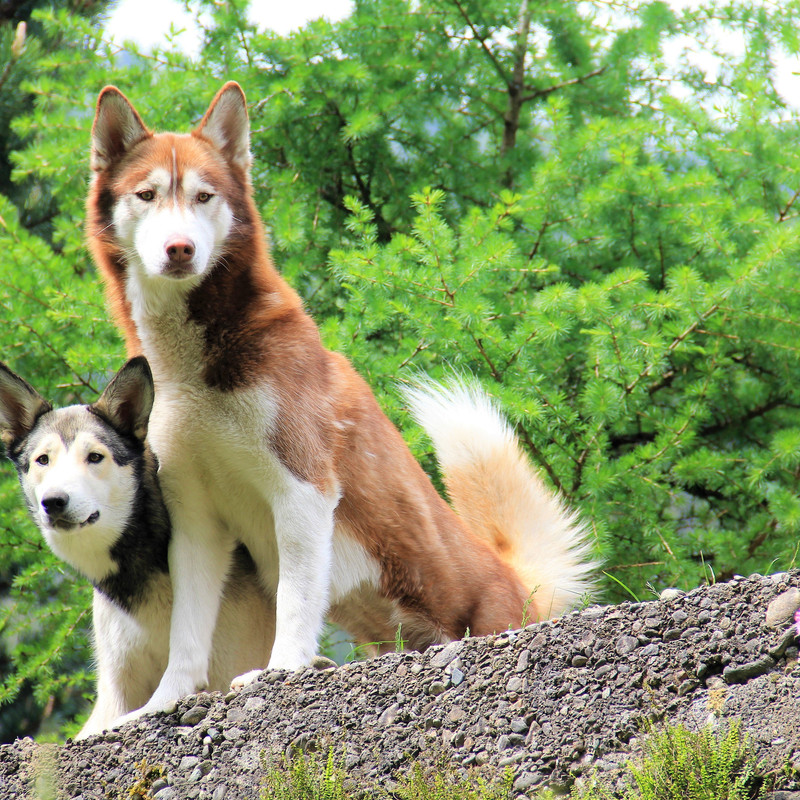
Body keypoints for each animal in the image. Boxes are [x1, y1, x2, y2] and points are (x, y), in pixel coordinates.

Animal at [86, 82, 595, 724]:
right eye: (147, 195)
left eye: (203, 196)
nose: (180, 249)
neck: (194, 373)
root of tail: (515, 580)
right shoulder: (196, 523)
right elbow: (186, 634)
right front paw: (165, 703)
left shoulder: (303, 491)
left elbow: (296, 599)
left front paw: (281, 670)